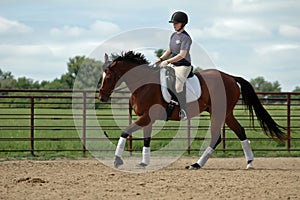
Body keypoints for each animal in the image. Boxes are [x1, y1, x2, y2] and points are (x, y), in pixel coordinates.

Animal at [98, 50, 286, 170]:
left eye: (109, 76)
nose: (101, 97)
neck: (144, 85)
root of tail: (231, 78)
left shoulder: (146, 117)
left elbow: (125, 131)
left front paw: (117, 161)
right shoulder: (147, 119)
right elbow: (146, 140)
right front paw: (144, 163)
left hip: (218, 113)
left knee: (216, 137)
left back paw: (196, 165)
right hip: (226, 114)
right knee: (240, 131)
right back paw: (250, 163)